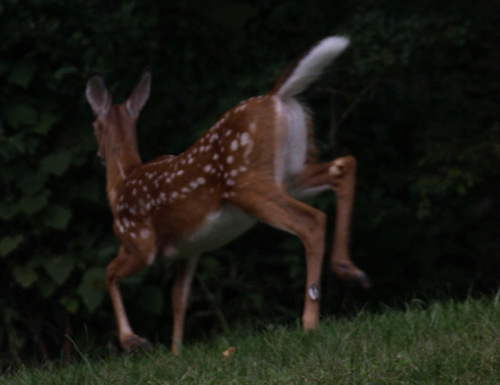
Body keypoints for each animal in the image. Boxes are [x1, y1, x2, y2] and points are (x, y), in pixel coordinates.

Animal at [84, 36, 370, 354]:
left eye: (94, 126)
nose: (98, 154)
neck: (123, 182)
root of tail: (276, 96)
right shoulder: (190, 249)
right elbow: (179, 298)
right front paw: (176, 352)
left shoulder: (139, 242)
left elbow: (108, 273)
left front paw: (133, 340)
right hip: (291, 173)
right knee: (344, 165)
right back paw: (349, 269)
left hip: (248, 184)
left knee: (313, 220)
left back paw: (310, 321)